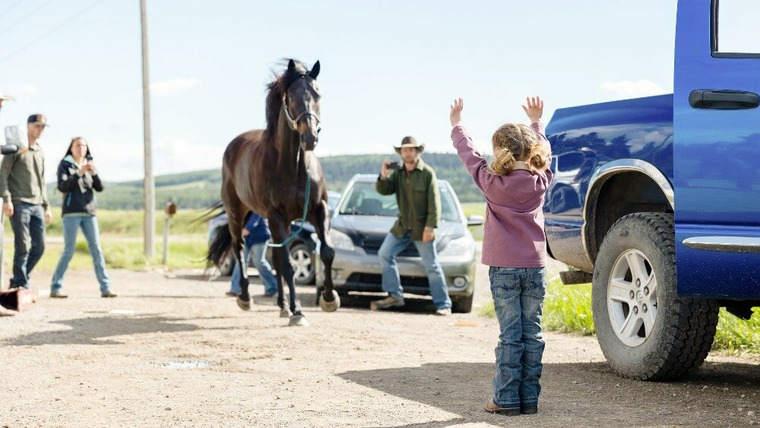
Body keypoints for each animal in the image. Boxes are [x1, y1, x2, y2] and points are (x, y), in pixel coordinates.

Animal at [208, 58, 338, 326]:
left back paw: (282, 305)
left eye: (318, 94)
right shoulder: (276, 215)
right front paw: (298, 312)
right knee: (240, 249)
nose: (310, 137)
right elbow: (289, 265)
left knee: (275, 258)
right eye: (291, 97)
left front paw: (329, 299)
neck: (295, 165)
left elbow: (327, 252)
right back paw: (246, 298)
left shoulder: (318, 209)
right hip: (238, 213)